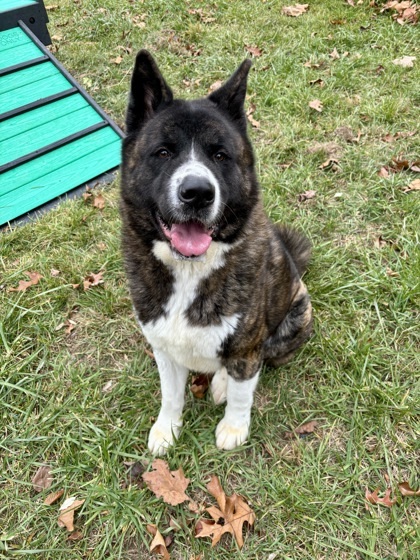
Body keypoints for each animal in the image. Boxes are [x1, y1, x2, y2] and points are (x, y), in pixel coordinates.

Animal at [119, 51, 312, 456]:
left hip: (293, 318)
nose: (197, 192)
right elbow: (171, 395)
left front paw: (234, 428)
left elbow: (242, 393)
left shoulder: (246, 347)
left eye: (221, 155)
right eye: (163, 152)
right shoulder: (164, 349)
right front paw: (167, 429)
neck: (191, 269)